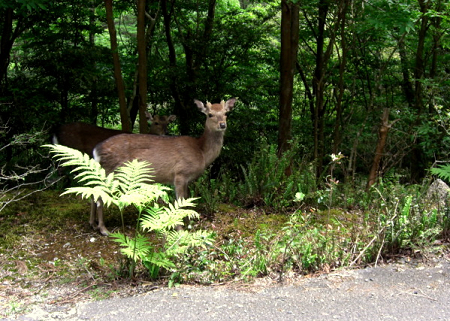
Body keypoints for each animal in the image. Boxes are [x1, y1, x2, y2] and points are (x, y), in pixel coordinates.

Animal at [92, 96, 239, 234]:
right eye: (210, 114)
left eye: (226, 113)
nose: (222, 124)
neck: (201, 151)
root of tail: (96, 150)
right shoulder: (180, 174)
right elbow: (179, 202)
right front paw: (180, 228)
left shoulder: (188, 180)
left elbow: (187, 201)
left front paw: (188, 224)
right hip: (113, 171)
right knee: (99, 196)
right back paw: (103, 229)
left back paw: (93, 224)